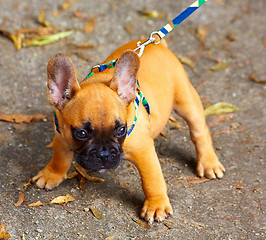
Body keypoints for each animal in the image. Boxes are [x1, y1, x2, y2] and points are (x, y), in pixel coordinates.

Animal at [32, 38, 224, 223]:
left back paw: (209, 163)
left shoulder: (144, 152)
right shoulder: (61, 135)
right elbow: (59, 158)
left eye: (121, 130)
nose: (103, 154)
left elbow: (152, 180)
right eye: (81, 134)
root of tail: (159, 44)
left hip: (186, 100)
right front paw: (51, 175)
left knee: (199, 131)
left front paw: (156, 205)